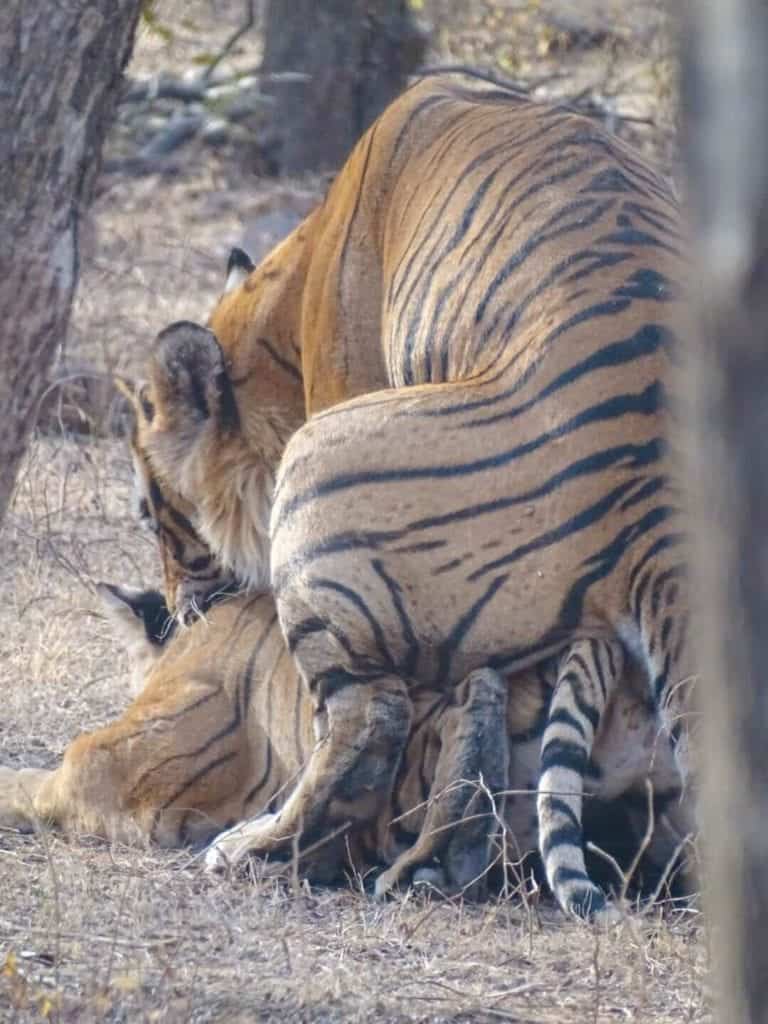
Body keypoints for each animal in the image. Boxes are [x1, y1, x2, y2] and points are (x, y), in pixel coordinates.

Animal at [124, 72, 692, 921]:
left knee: (368, 720)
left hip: (322, 468)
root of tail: (653, 498)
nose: (175, 614)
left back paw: (261, 848)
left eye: (152, 512)